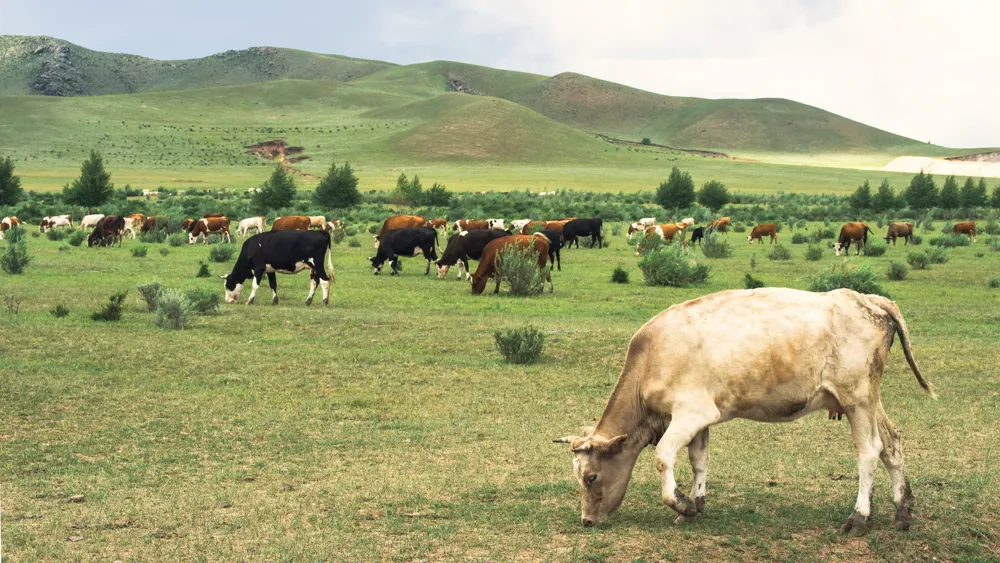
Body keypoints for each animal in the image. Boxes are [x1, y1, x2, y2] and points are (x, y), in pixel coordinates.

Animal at [554, 288, 934, 535]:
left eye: (591, 477)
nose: (587, 520)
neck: (653, 355)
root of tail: (867, 298)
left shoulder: (689, 414)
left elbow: (663, 457)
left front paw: (681, 504)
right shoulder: (701, 419)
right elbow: (699, 461)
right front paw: (695, 505)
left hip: (856, 399)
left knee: (869, 452)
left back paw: (859, 518)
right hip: (869, 400)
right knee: (892, 445)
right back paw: (902, 512)